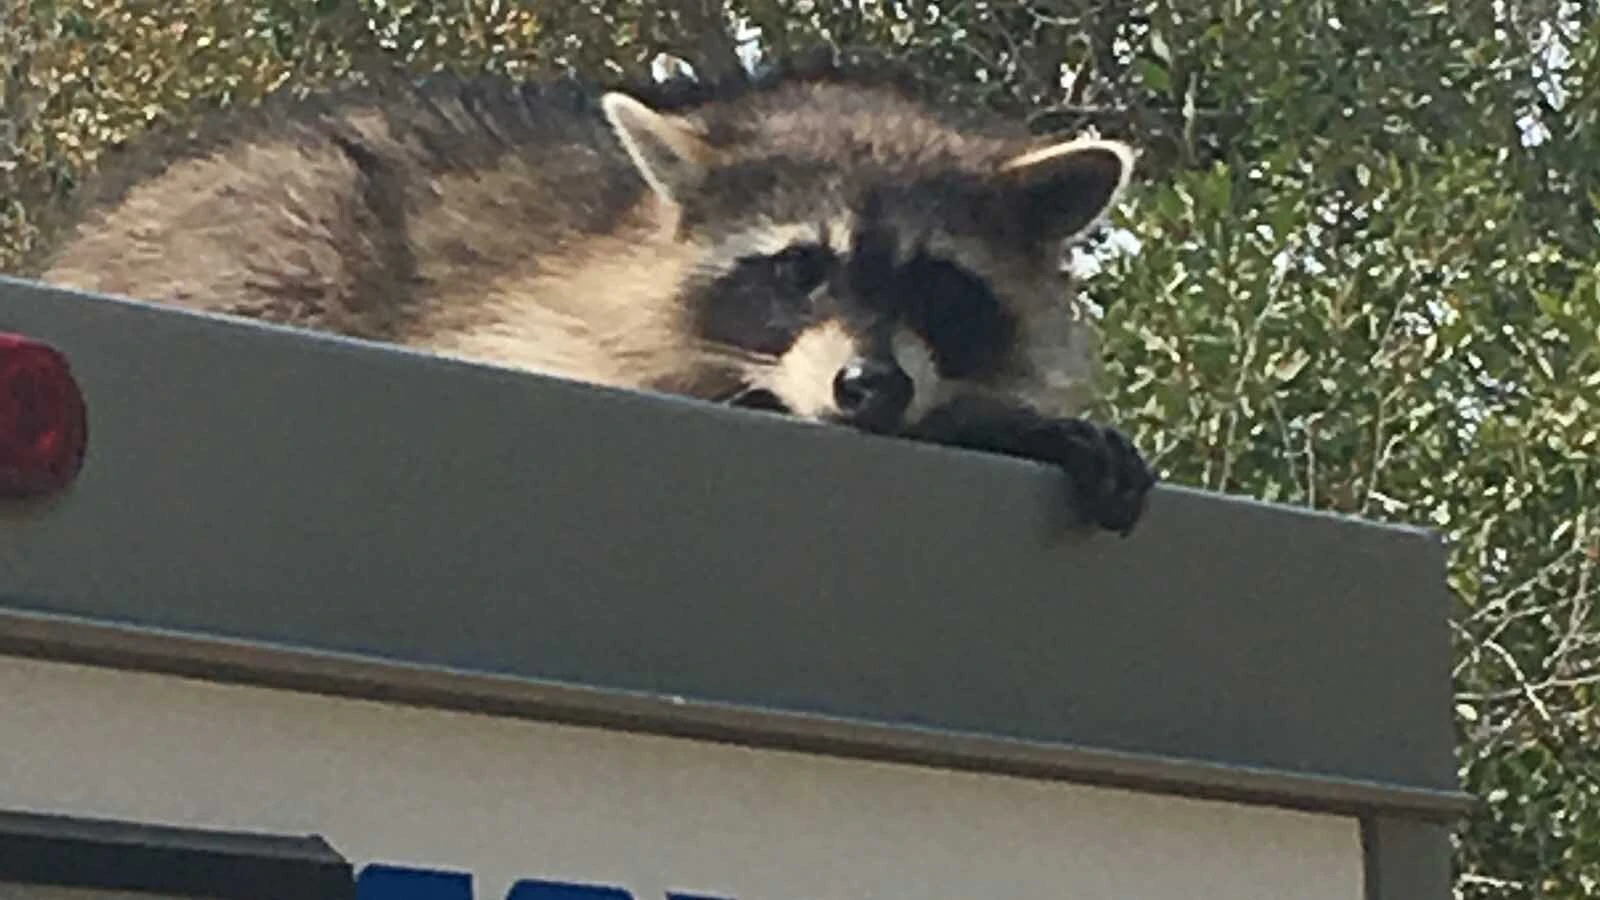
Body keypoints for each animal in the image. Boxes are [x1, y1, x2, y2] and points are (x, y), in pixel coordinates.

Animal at [24, 51, 1156, 535]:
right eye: (798, 270)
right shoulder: (539, 323)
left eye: (935, 284)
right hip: (265, 231)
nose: (871, 388)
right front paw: (992, 427)